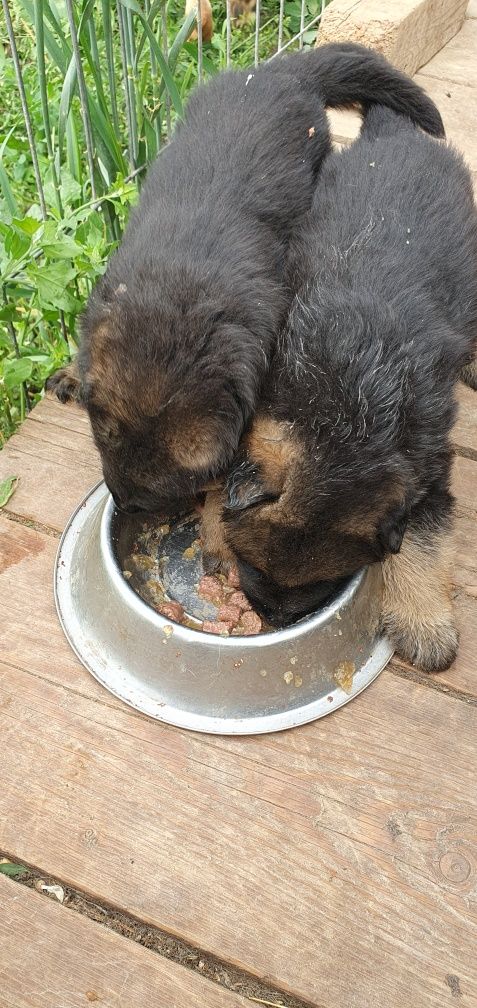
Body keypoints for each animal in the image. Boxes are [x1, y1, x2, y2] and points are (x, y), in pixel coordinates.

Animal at [212, 104, 475, 669]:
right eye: (252, 563)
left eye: (329, 577)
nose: (276, 620)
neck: (346, 412)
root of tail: (396, 130)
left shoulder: (429, 472)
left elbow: (423, 540)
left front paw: (423, 621)